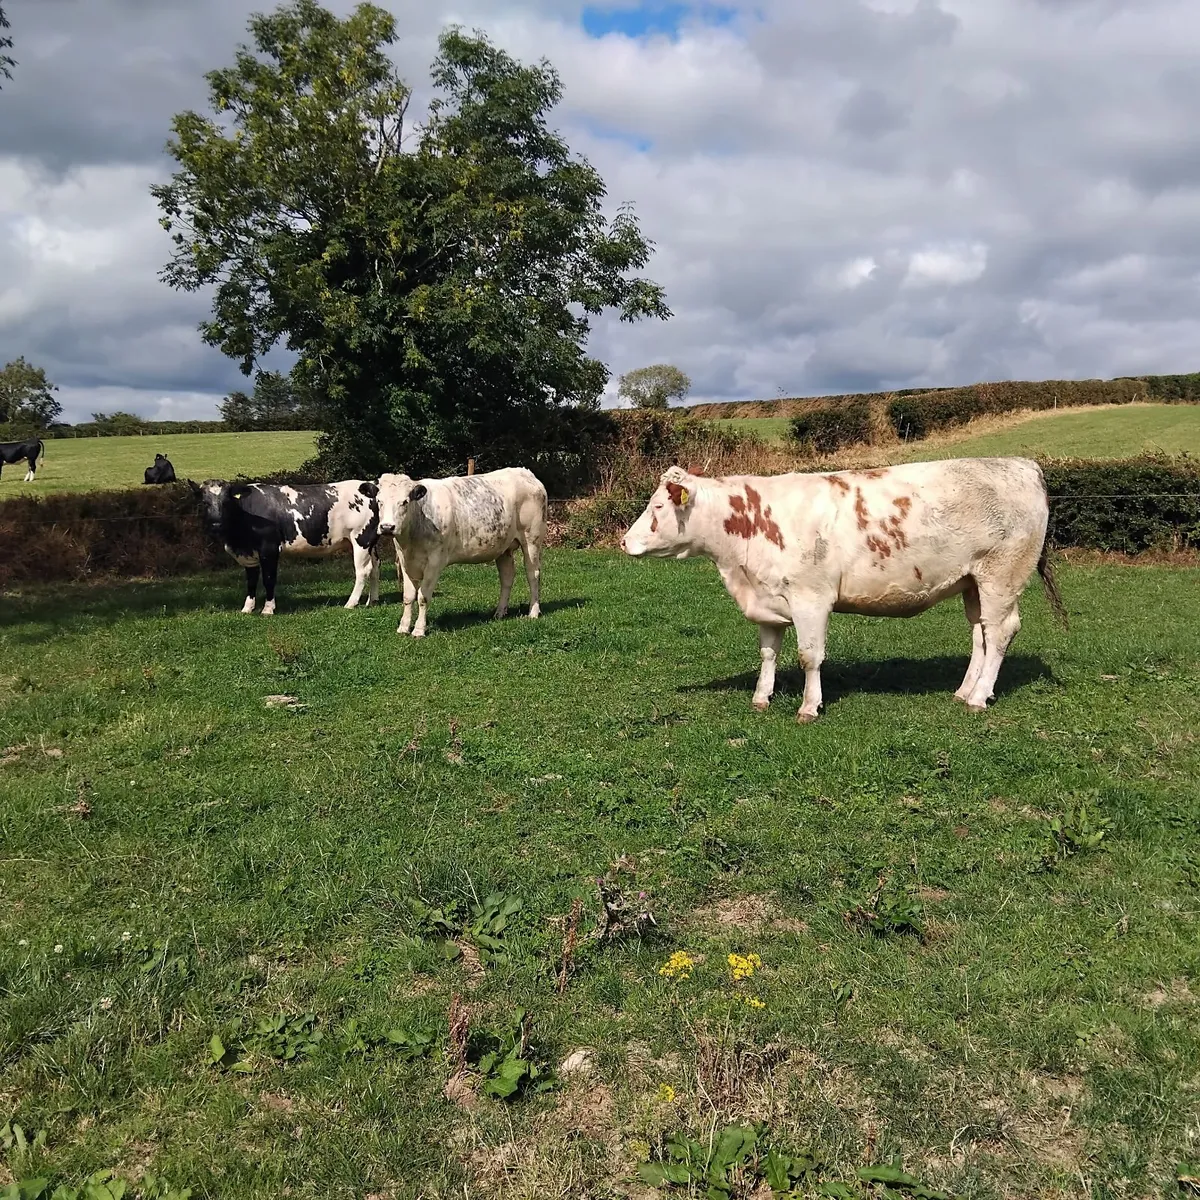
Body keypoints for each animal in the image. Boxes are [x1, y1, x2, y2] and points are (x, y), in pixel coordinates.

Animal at [192, 479, 386, 615]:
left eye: (226, 502)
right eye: (205, 503)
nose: (216, 524)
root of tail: (368, 486)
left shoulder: (269, 549)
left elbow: (269, 579)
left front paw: (268, 609)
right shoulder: (249, 555)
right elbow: (251, 581)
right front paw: (247, 608)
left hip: (361, 539)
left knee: (363, 571)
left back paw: (351, 603)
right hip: (371, 543)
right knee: (375, 567)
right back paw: (372, 601)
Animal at [367, 467, 547, 637]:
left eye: (404, 502)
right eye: (379, 501)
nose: (387, 527)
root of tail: (526, 473)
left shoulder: (435, 562)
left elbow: (423, 597)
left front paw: (419, 630)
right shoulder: (405, 562)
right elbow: (408, 596)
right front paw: (403, 627)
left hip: (532, 539)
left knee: (533, 575)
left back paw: (533, 612)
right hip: (504, 548)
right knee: (507, 578)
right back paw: (499, 612)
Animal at [620, 458, 1066, 721]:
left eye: (657, 507)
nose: (624, 542)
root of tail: (1024, 464)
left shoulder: (811, 599)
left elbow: (809, 657)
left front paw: (808, 706)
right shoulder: (767, 601)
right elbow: (768, 653)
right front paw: (762, 697)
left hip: (1001, 576)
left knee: (1001, 632)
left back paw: (978, 697)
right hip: (971, 582)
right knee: (980, 635)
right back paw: (963, 691)